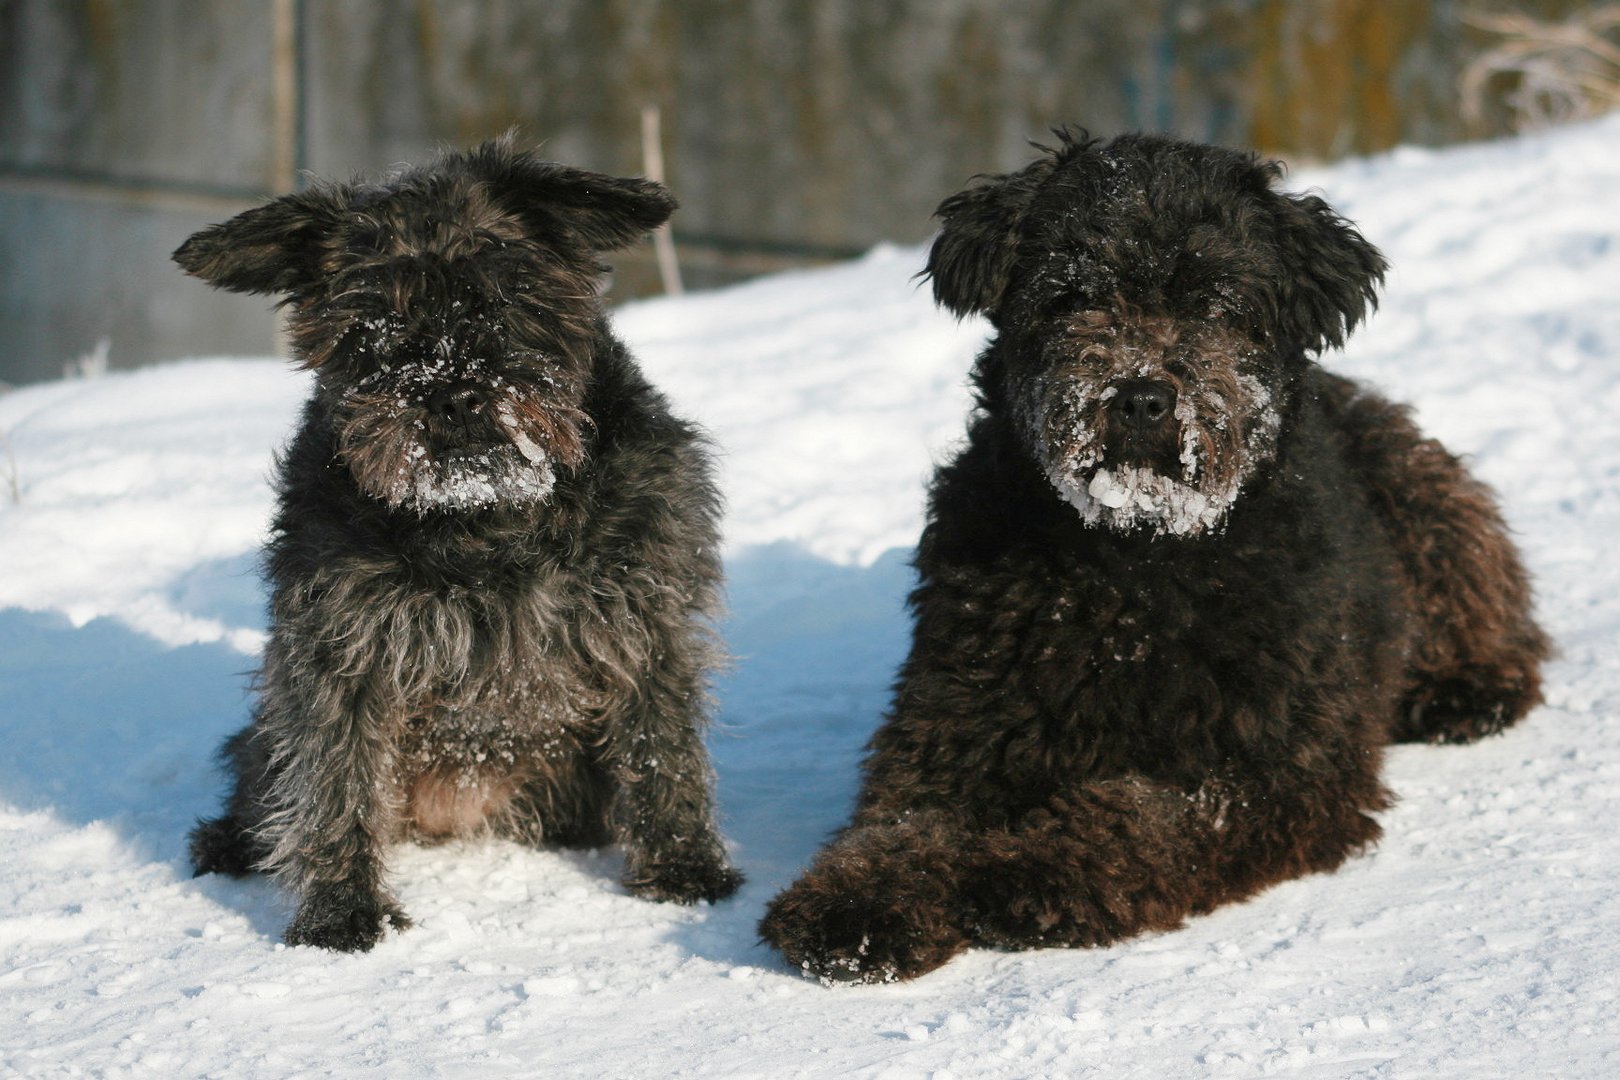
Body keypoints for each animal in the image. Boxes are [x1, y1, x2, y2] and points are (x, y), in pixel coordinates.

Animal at [175, 139, 741, 952]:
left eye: (504, 295)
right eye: (372, 321)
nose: (451, 390)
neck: (489, 519)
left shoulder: (646, 621)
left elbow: (662, 748)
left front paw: (685, 871)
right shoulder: (339, 647)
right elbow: (334, 778)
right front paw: (341, 912)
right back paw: (231, 840)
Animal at [758, 131, 1542, 984]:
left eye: (1219, 302)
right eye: (1070, 296)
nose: (1139, 397)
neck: (1131, 565)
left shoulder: (1278, 766)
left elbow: (1149, 815)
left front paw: (1030, 868)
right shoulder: (952, 724)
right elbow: (903, 819)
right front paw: (859, 902)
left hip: (1419, 491)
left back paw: (1465, 689)